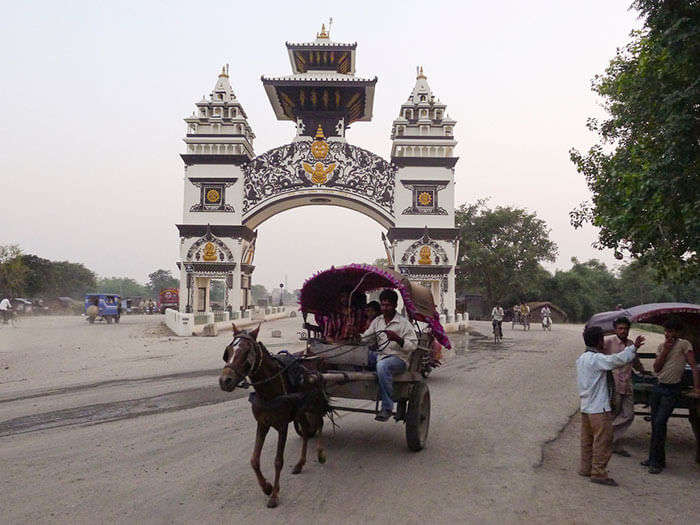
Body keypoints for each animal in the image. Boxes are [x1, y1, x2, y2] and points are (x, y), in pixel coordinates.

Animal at [219, 324, 328, 508]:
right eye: (228, 351)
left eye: (246, 351)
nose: (225, 381)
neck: (269, 389)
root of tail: (314, 356)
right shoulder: (262, 423)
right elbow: (254, 460)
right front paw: (267, 487)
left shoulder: (282, 425)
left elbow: (278, 461)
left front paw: (274, 495)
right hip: (301, 409)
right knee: (306, 431)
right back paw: (300, 463)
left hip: (315, 402)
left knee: (319, 423)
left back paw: (320, 454)